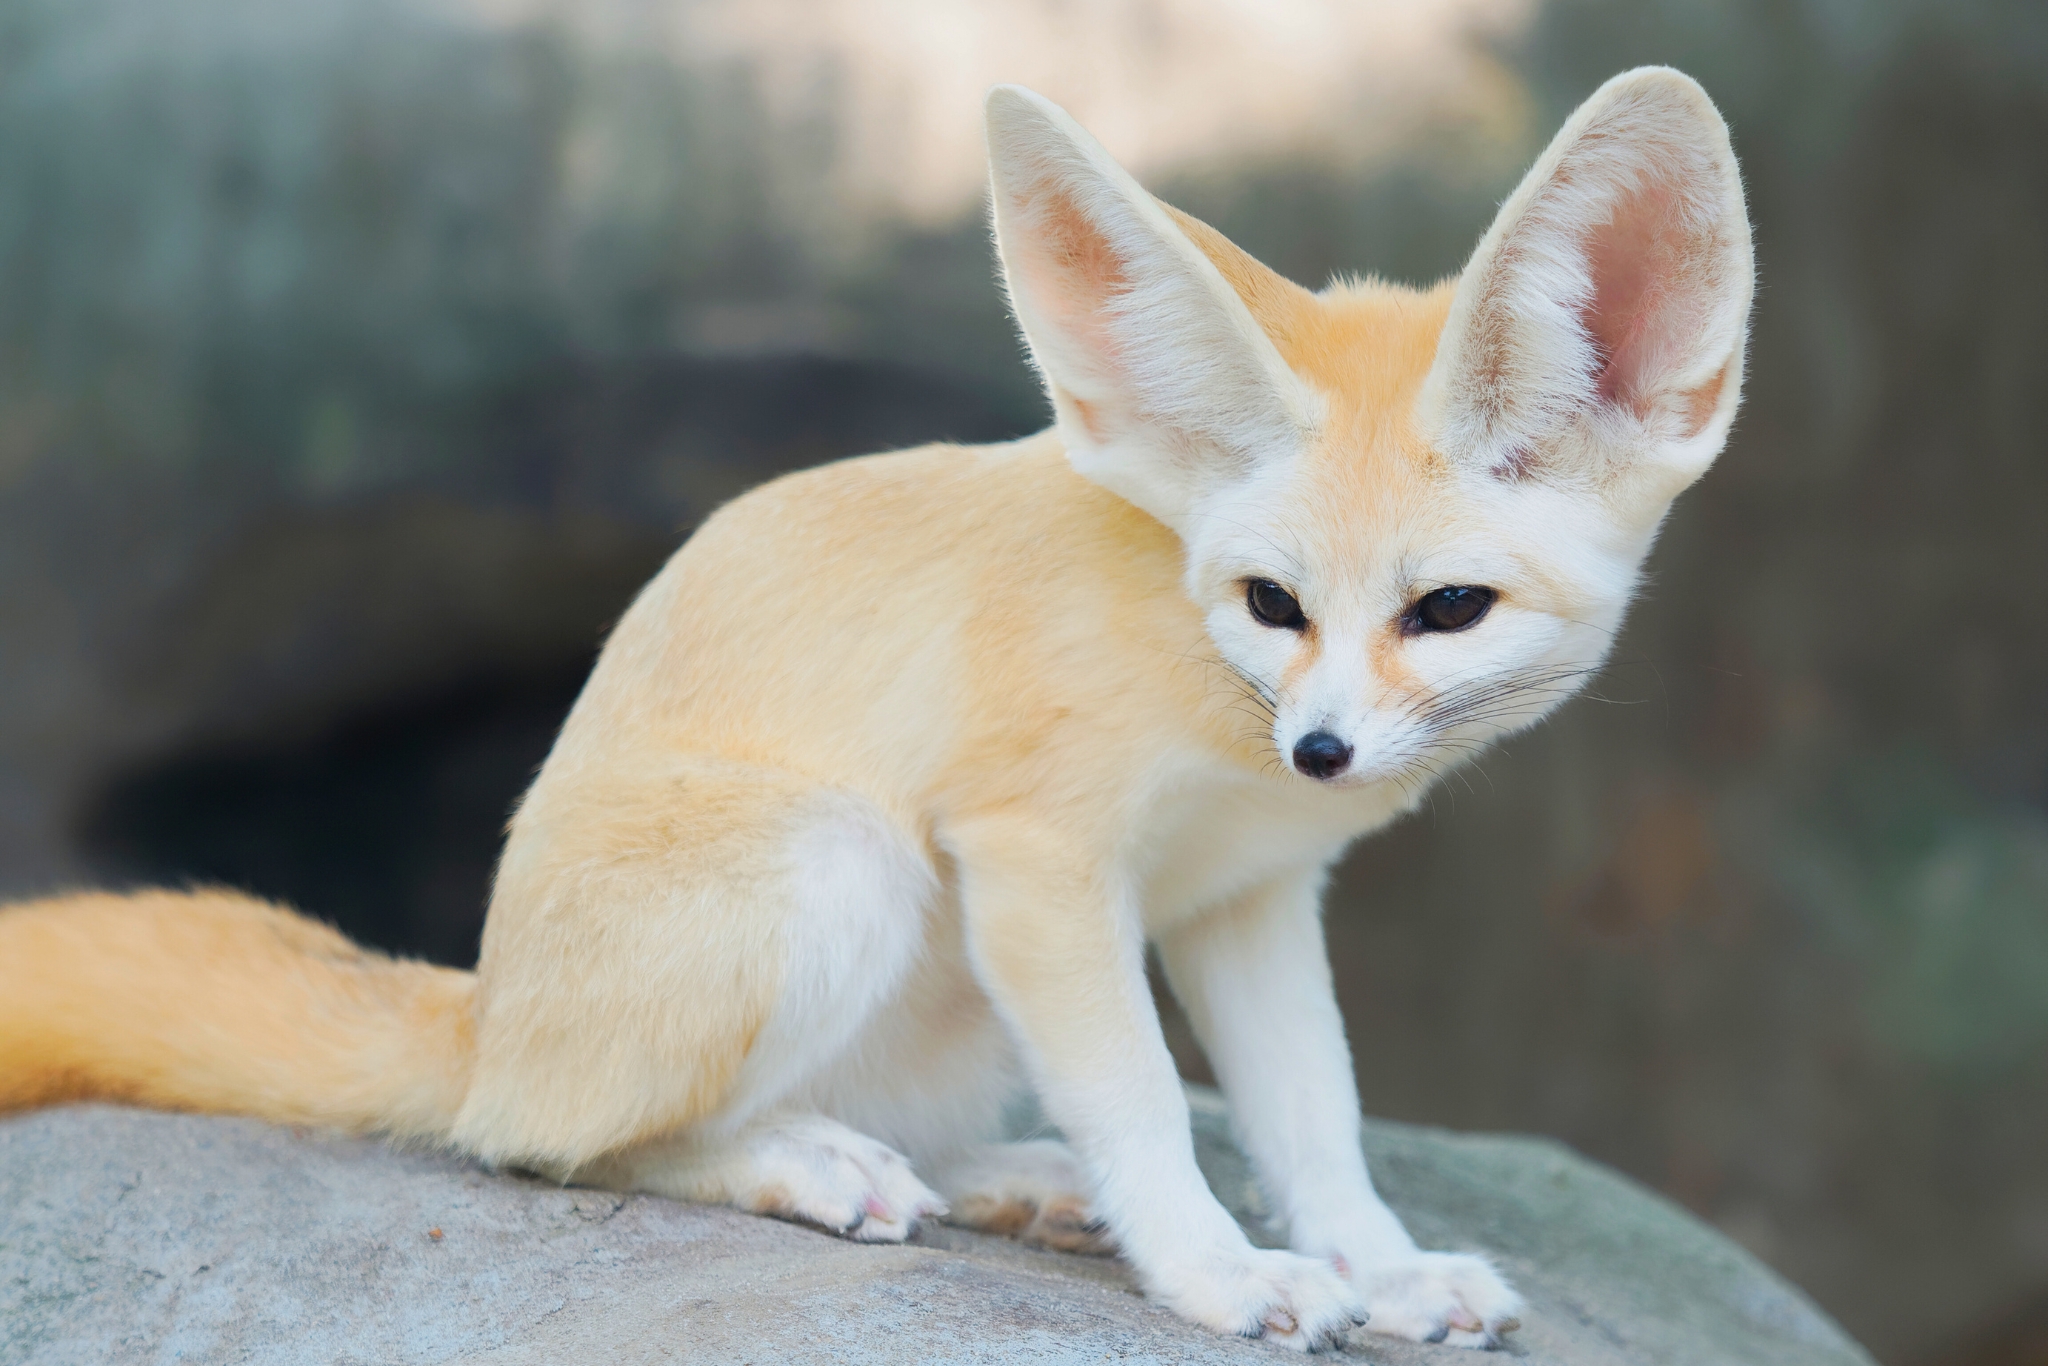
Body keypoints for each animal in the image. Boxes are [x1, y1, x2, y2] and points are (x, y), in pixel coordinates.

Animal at [1, 69, 1752, 1350]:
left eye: (1446, 609)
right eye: (1274, 603)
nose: (1319, 749)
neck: (1189, 650)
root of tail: (482, 1005)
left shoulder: (1245, 898)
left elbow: (1315, 1118)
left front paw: (1375, 1267)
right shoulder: (1037, 862)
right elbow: (1145, 1105)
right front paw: (1214, 1270)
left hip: (944, 977)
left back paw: (994, 1178)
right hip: (846, 865)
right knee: (539, 1140)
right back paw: (802, 1160)